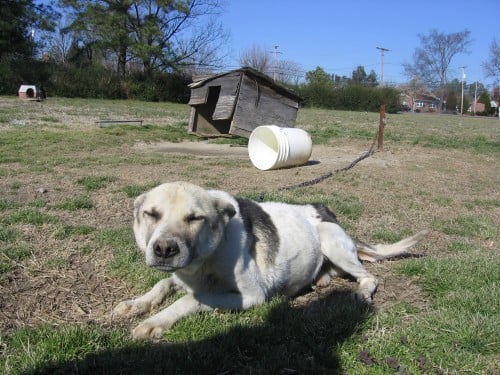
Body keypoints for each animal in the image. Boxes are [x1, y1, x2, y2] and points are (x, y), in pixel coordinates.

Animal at [113, 182, 426, 340]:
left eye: (195, 218)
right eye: (151, 214)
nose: (165, 249)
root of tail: (327, 212)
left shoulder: (252, 296)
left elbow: (192, 299)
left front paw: (155, 322)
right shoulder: (183, 275)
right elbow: (164, 284)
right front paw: (135, 304)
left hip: (330, 239)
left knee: (369, 277)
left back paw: (361, 292)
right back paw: (321, 279)